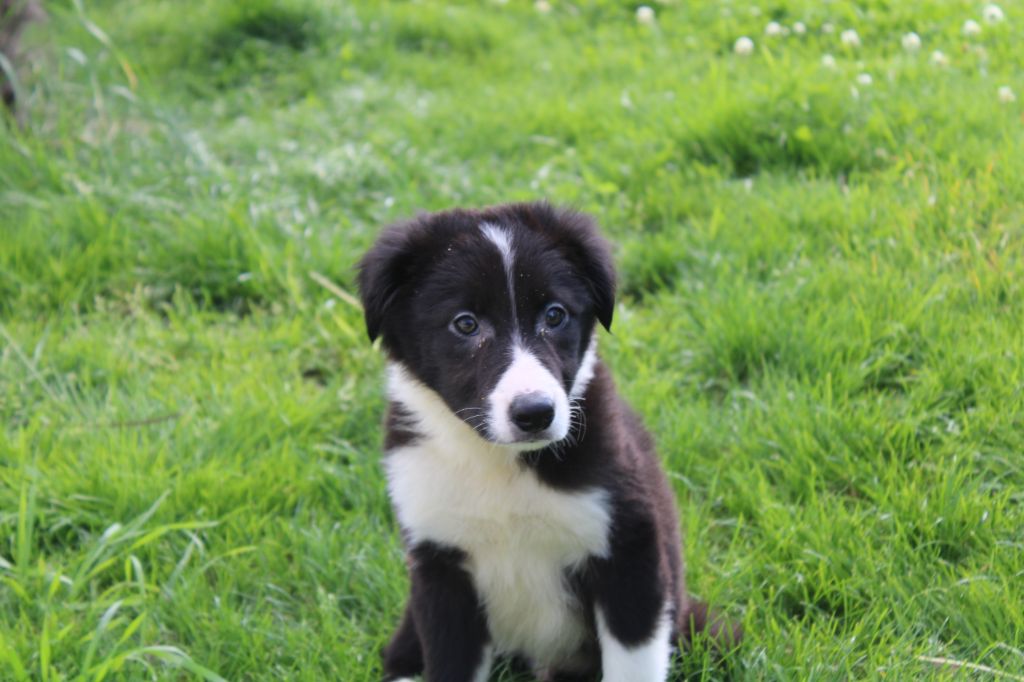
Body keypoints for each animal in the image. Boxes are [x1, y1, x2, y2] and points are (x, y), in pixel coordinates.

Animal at [358, 201, 737, 679]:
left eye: (555, 315)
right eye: (465, 324)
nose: (535, 413)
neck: (501, 464)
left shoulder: (629, 550)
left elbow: (631, 663)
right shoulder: (441, 571)